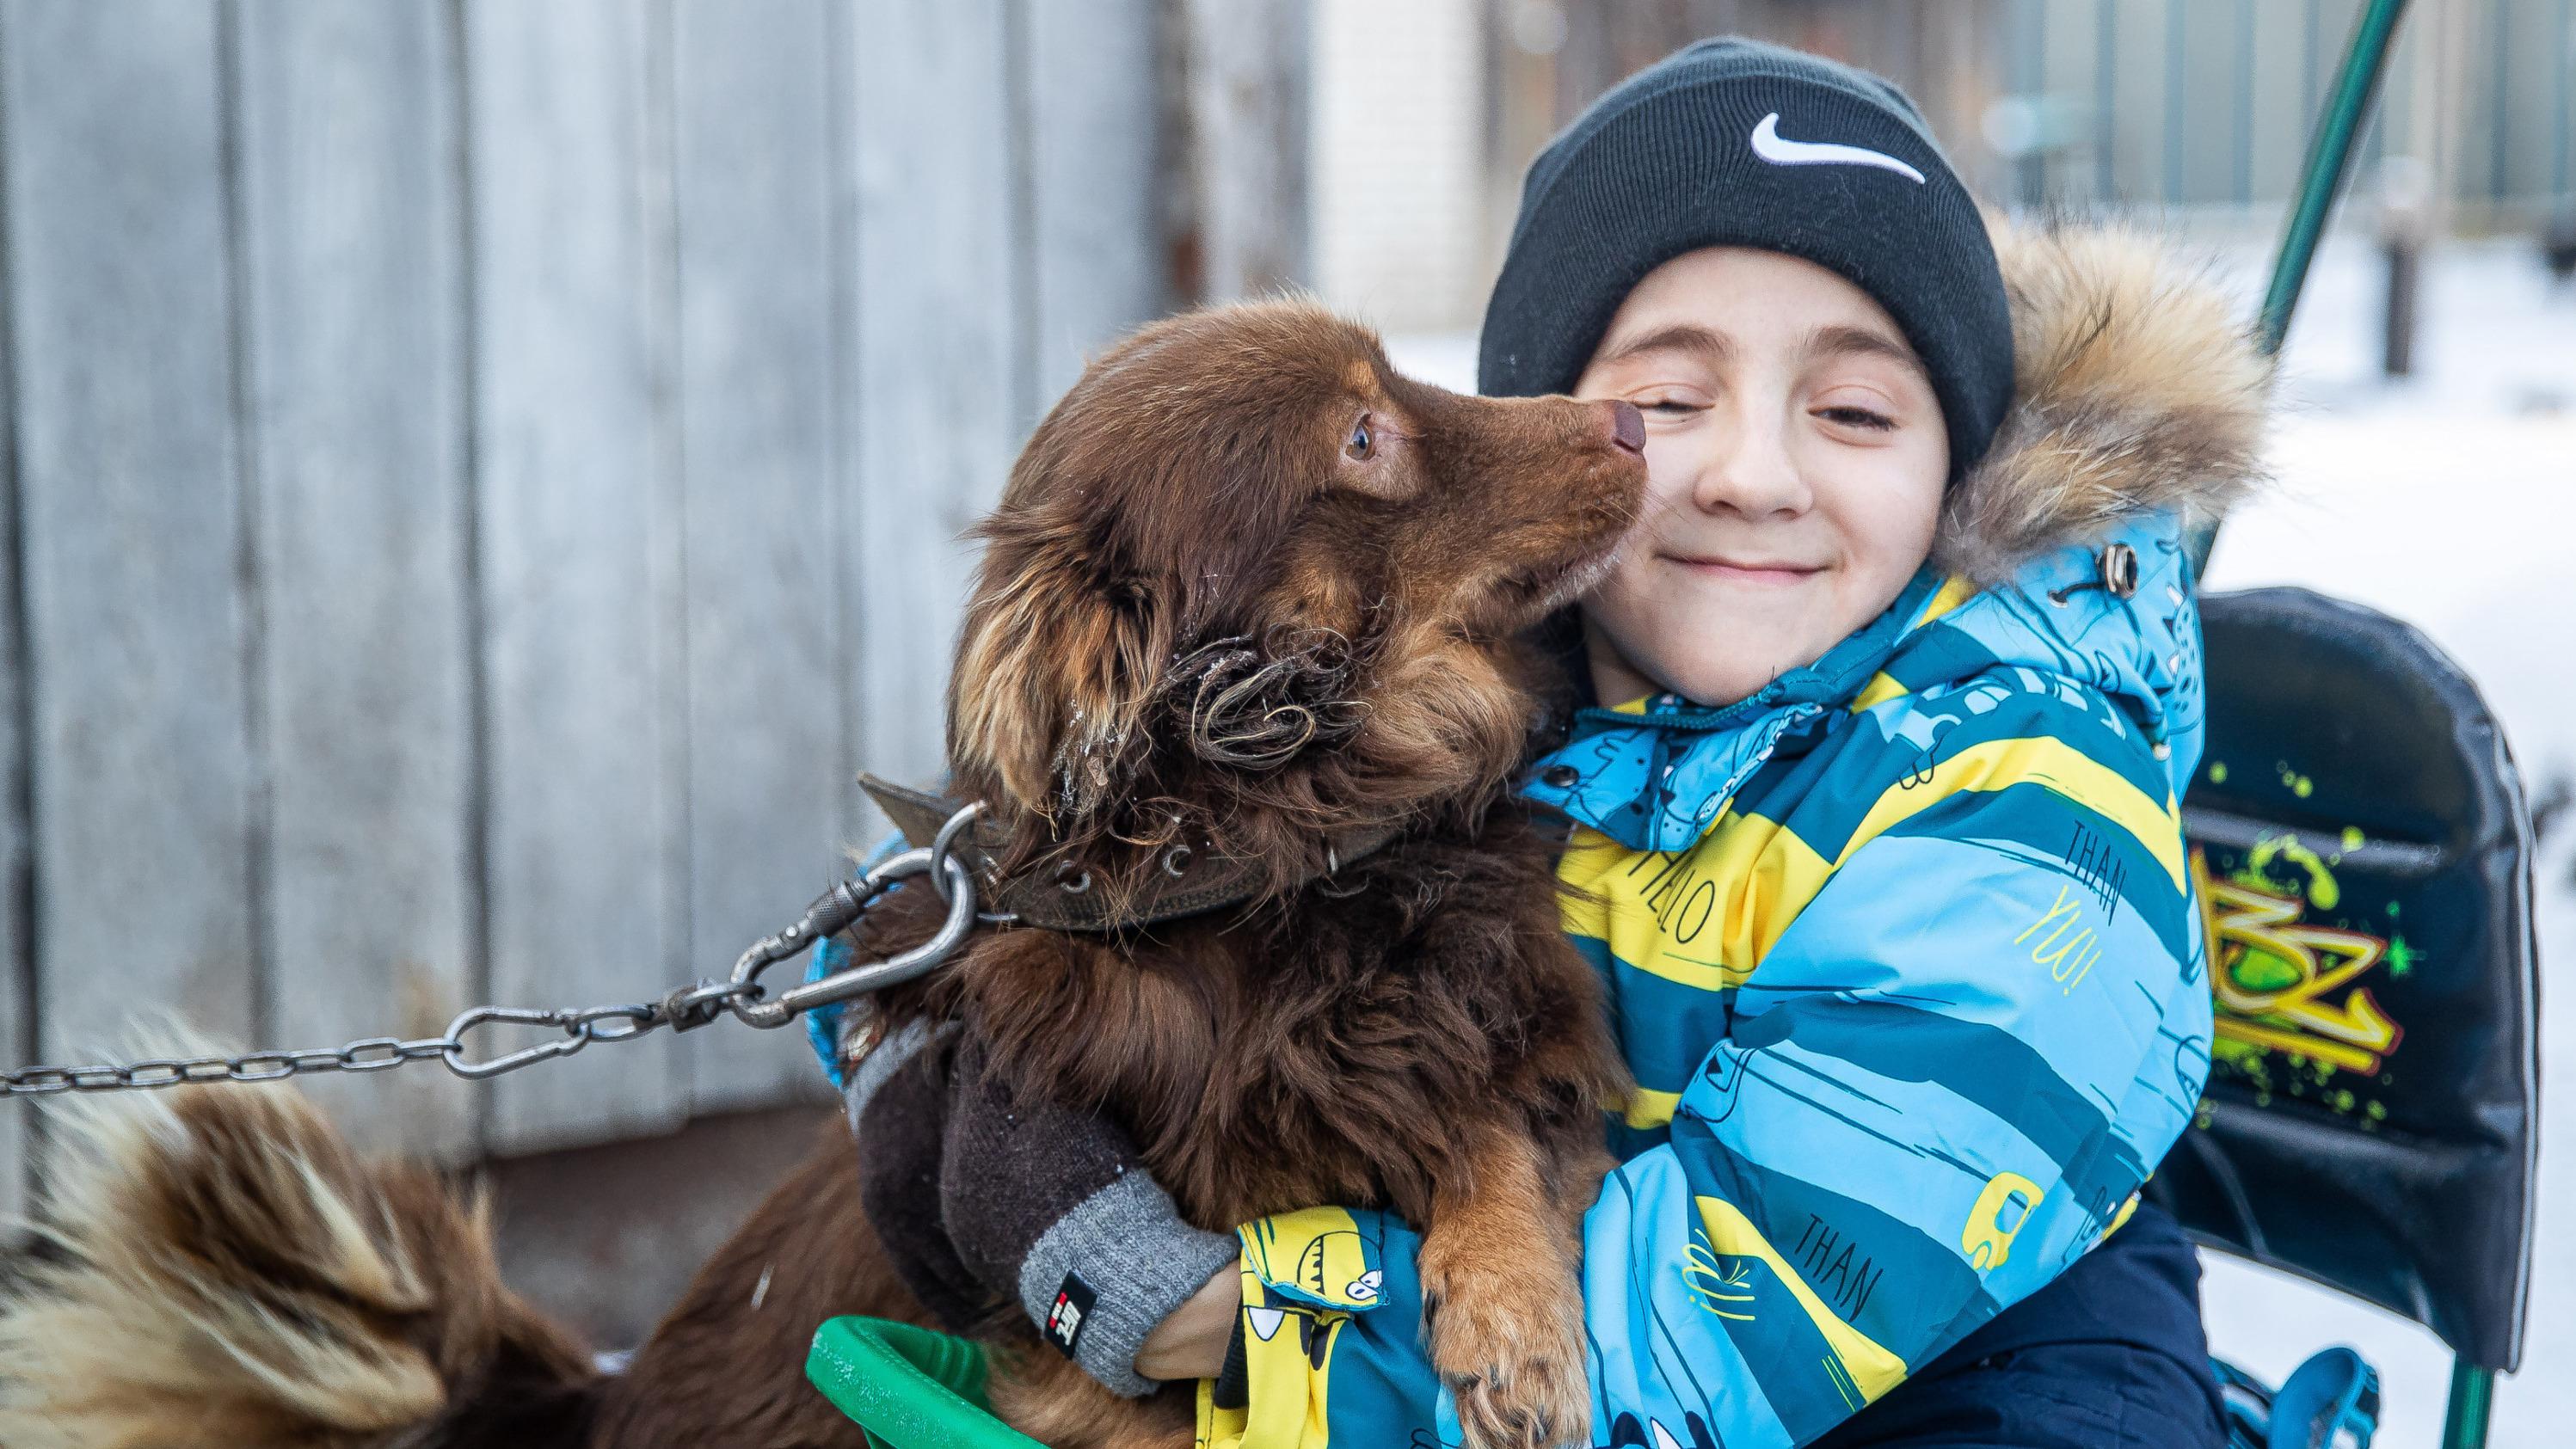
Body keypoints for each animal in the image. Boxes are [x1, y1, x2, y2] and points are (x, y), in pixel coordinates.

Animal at [0, 297, 1648, 1449]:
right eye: (1362, 439)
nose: (1634, 421)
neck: (1264, 876)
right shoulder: (1068, 1370)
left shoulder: (1482, 1026)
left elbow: (1491, 1124)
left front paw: (1513, 1323)